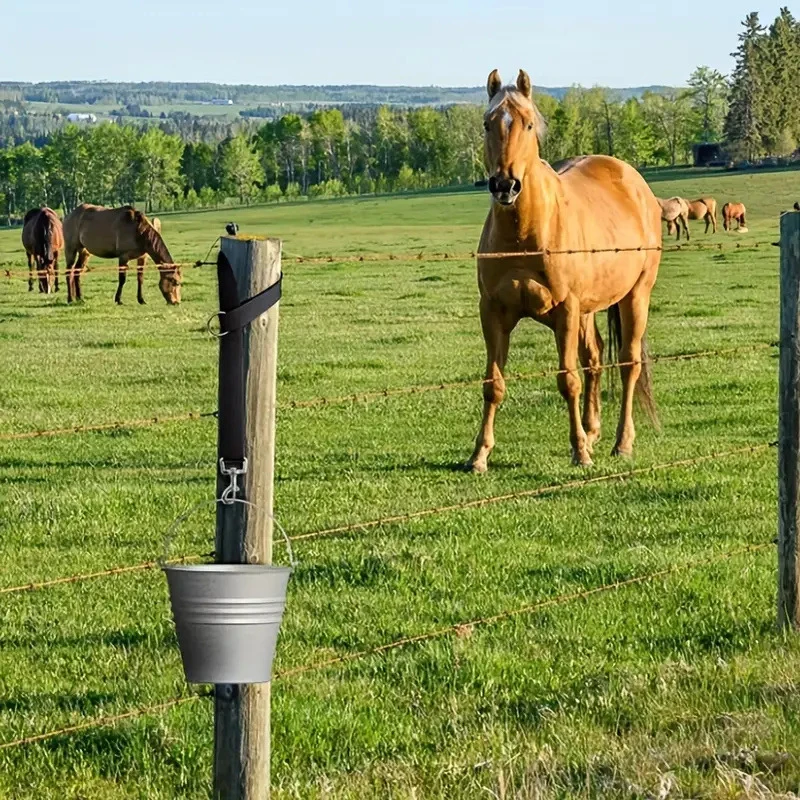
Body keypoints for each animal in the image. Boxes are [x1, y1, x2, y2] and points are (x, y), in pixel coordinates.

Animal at [466, 70, 660, 476]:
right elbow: (493, 383)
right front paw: (479, 455)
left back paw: (622, 443)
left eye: (527, 123)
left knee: (628, 364)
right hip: (588, 310)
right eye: (488, 124)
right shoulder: (492, 311)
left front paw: (579, 451)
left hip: (636, 296)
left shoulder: (566, 310)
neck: (524, 234)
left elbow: (567, 379)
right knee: (596, 360)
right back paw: (593, 430)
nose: (505, 185)